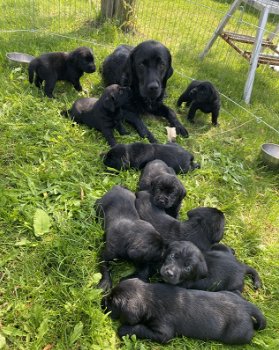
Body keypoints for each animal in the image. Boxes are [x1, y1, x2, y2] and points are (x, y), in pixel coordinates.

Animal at [104, 278, 266, 344]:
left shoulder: (163, 333)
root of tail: (247, 306)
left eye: (113, 302)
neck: (150, 297)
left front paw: (124, 330)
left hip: (238, 335)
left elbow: (140, 328)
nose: (101, 301)